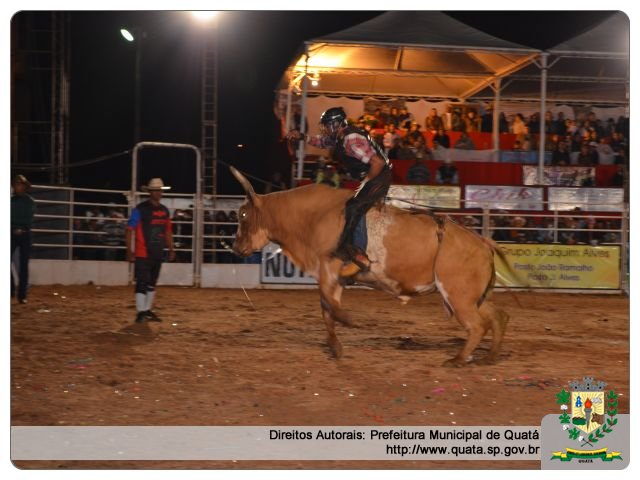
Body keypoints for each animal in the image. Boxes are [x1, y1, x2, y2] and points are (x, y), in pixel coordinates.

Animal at [230, 167, 510, 366]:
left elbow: (328, 305)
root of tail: (481, 241)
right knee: (497, 317)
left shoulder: (328, 269)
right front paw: (335, 346)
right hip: (471, 296)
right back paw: (490, 356)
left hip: (457, 294)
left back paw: (459, 359)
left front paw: (347, 321)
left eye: (242, 215)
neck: (313, 216)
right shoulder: (333, 277)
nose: (235, 246)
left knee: (477, 326)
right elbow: (327, 309)